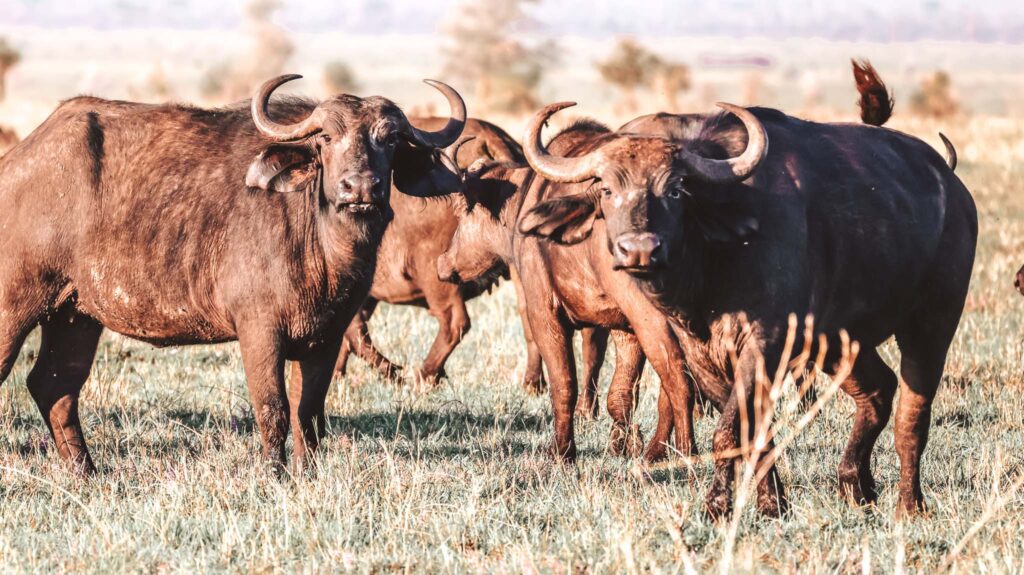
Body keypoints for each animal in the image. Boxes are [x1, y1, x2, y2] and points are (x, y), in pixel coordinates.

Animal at [0, 75, 466, 474]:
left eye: (389, 139)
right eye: (326, 138)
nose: (361, 188)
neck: (321, 243)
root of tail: (15, 163)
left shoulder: (326, 337)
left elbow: (309, 413)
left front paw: (307, 473)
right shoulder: (259, 331)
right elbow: (273, 408)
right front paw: (275, 474)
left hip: (75, 316)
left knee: (54, 387)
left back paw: (87, 472)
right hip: (16, 308)